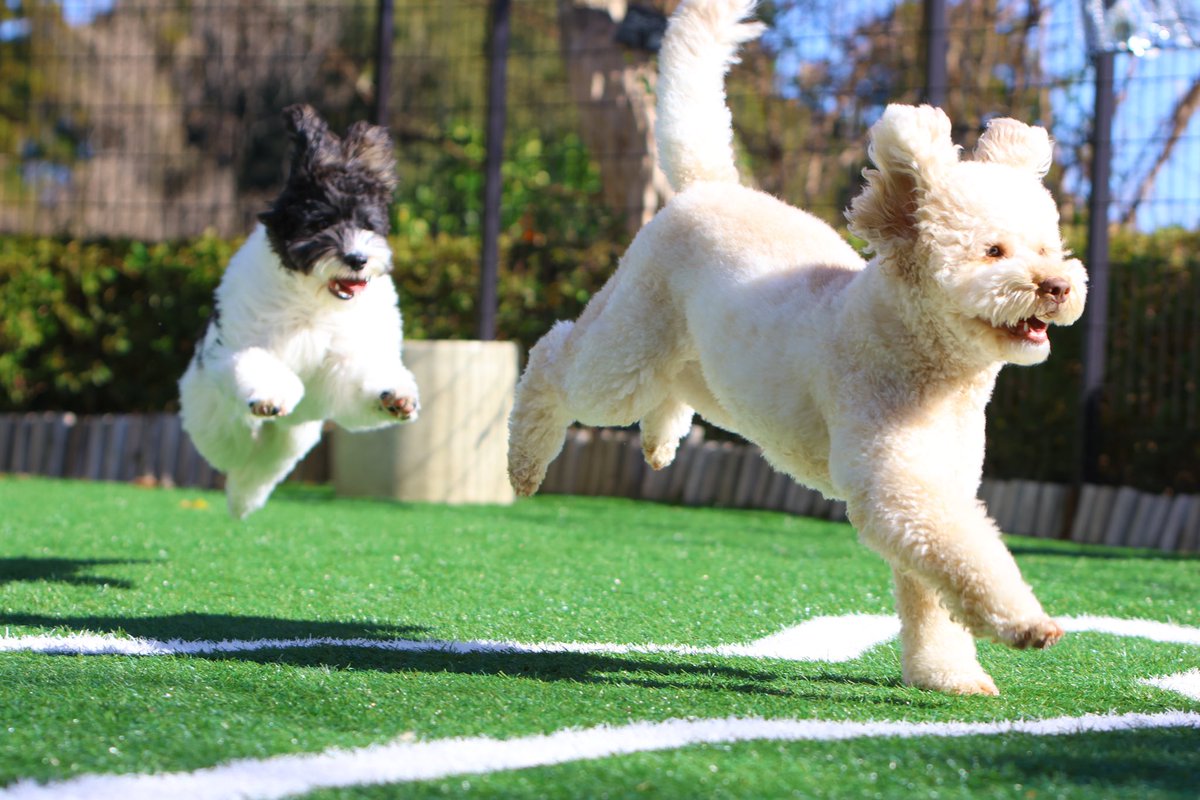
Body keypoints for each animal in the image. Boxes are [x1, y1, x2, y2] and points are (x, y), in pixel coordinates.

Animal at [177, 104, 422, 520]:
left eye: (367, 224)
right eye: (321, 223)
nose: (357, 259)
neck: (316, 301)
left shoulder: (347, 361)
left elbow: (362, 380)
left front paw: (397, 398)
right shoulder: (241, 346)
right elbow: (256, 362)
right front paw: (271, 395)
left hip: (294, 439)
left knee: (263, 467)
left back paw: (244, 500)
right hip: (214, 417)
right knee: (236, 448)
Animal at [506, 0, 1089, 695]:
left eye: (1049, 248)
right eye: (994, 251)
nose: (1057, 285)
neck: (929, 366)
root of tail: (709, 186)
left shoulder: (938, 483)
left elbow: (928, 595)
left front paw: (945, 675)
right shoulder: (898, 486)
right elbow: (964, 555)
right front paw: (1024, 623)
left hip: (711, 369)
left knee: (669, 388)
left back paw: (659, 440)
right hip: (628, 350)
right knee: (553, 357)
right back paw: (524, 465)